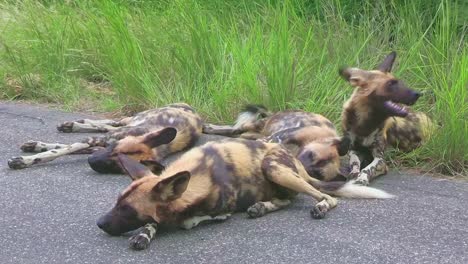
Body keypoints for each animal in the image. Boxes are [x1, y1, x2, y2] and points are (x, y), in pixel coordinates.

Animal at [6, 102, 202, 174]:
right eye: (113, 150)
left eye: (117, 166)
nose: (92, 161)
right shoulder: (99, 142)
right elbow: (61, 150)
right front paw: (26, 160)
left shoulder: (96, 146)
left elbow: (63, 149)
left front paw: (35, 150)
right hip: (131, 119)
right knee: (113, 122)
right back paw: (73, 124)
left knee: (108, 125)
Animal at [97, 137, 394, 251]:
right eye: (117, 204)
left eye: (127, 210)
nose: (99, 223)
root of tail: (294, 160)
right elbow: (153, 222)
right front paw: (143, 234)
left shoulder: (222, 211)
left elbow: (189, 219)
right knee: (286, 200)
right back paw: (261, 207)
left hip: (274, 168)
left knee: (325, 198)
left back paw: (318, 206)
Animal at [203, 106, 350, 183]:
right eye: (311, 154)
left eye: (317, 174)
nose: (300, 167)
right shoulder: (280, 137)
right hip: (257, 125)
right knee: (235, 128)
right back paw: (207, 127)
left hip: (254, 133)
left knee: (240, 133)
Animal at [338, 51, 434, 186]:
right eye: (391, 84)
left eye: (399, 82)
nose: (417, 94)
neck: (365, 123)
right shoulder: (353, 149)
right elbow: (355, 162)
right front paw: (354, 172)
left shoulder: (380, 159)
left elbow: (368, 169)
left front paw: (362, 178)